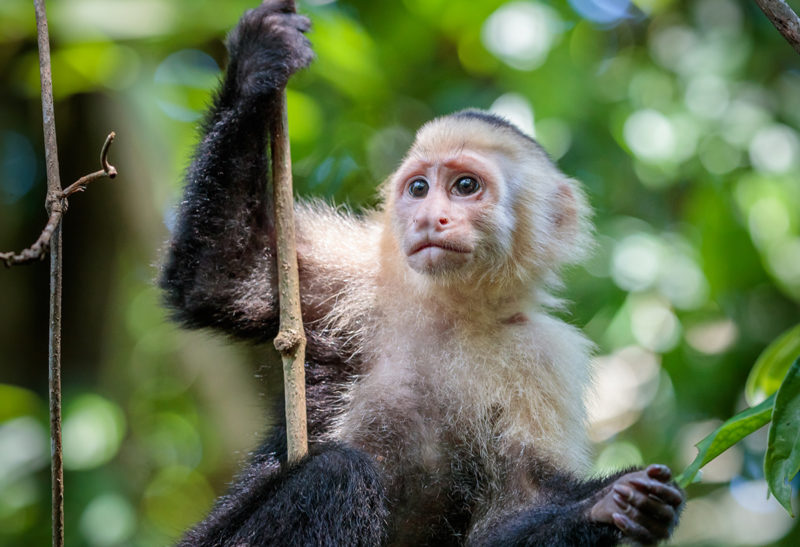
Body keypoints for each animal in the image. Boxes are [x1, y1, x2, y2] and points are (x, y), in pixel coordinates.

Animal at [159, 2, 684, 544]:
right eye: (418, 188)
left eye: (465, 186)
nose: (430, 217)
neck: (452, 309)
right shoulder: (365, 271)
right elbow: (221, 278)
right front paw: (260, 59)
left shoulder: (546, 355)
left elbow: (514, 509)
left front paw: (611, 503)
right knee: (339, 473)